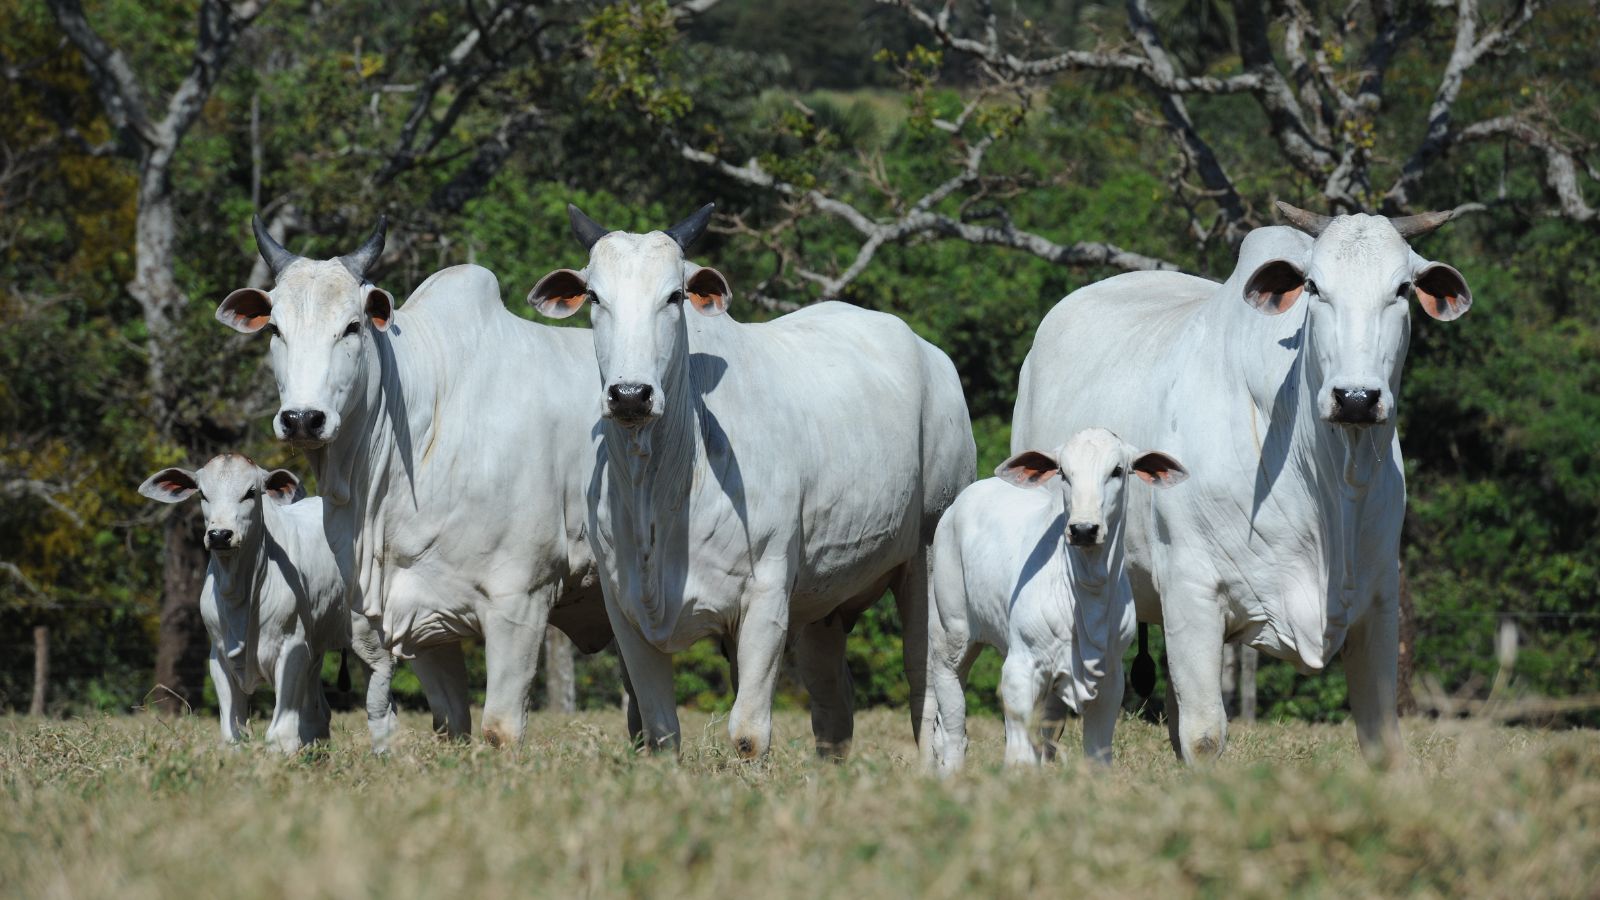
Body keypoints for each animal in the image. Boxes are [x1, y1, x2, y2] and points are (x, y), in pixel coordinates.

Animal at [140, 451, 396, 752]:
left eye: (250, 492)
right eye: (202, 493)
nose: (219, 535)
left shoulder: (292, 648)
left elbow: (281, 729)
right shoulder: (220, 657)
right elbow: (232, 730)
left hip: (370, 637)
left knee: (380, 704)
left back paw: (382, 752)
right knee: (318, 713)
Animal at [928, 425, 1190, 771]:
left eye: (1117, 470)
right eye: (1064, 472)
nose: (1083, 529)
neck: (1087, 592)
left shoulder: (1111, 679)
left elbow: (1096, 754)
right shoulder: (1020, 668)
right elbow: (1020, 757)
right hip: (951, 636)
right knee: (952, 727)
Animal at [1011, 203, 1472, 762]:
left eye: (1402, 289)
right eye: (1314, 286)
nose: (1356, 398)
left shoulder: (1379, 597)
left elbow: (1381, 737)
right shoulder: (1191, 591)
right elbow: (1204, 735)